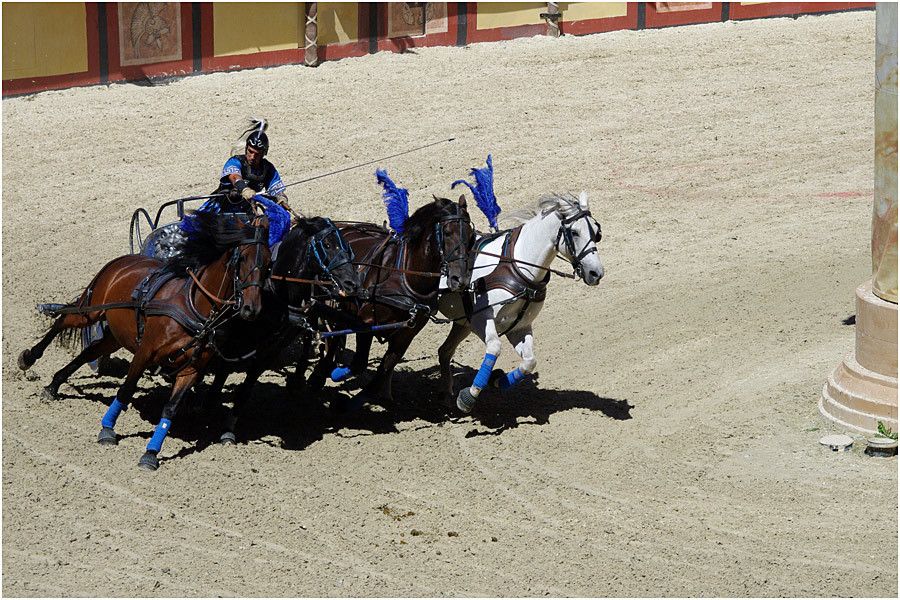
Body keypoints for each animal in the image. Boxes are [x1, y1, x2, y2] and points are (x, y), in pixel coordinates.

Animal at [18, 213, 270, 472]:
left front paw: (151, 452)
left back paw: (53, 385)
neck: (194, 307)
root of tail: (126, 259)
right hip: (91, 310)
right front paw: (107, 429)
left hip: (115, 336)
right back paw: (29, 358)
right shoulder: (145, 351)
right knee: (62, 321)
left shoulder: (192, 368)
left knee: (88, 353)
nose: (252, 308)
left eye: (270, 263)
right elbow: (126, 389)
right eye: (242, 258)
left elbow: (171, 409)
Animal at [308, 196, 478, 408]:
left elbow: (383, 370)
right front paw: (337, 376)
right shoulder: (366, 322)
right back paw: (320, 372)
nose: (460, 279)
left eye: (470, 235)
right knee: (331, 337)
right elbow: (359, 363)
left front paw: (354, 402)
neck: (406, 276)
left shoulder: (407, 334)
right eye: (447, 233)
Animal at [438, 192, 604, 412]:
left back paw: (446, 394)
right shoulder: (482, 319)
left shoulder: (519, 327)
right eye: (575, 233)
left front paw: (498, 380)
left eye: (597, 232)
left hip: (462, 323)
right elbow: (494, 348)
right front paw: (469, 396)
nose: (596, 273)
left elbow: (529, 362)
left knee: (444, 351)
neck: (518, 266)